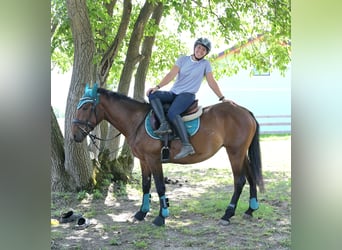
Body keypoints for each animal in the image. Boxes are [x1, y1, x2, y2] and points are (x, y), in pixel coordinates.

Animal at [71, 84, 264, 227]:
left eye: (86, 107)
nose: (74, 135)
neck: (137, 121)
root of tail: (244, 111)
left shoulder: (154, 159)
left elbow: (160, 186)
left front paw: (161, 216)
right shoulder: (144, 161)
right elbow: (146, 186)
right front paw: (141, 213)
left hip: (235, 152)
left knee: (239, 181)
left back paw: (228, 214)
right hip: (241, 153)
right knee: (251, 176)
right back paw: (250, 209)